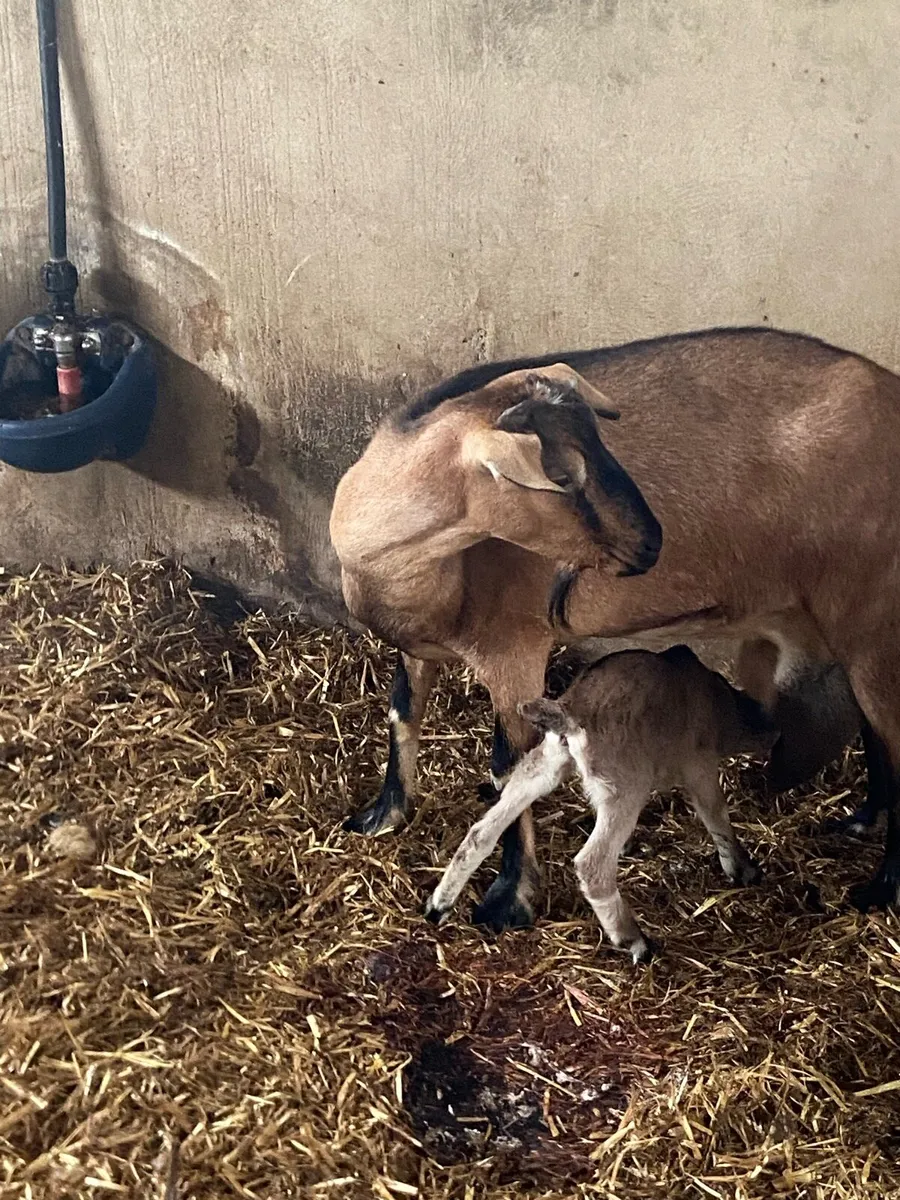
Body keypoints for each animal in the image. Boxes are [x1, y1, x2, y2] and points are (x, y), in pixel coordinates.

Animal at [425, 646, 778, 961]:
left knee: (482, 831)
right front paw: (742, 869)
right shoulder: (699, 766)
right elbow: (716, 813)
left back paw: (439, 905)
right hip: (624, 785)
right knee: (593, 864)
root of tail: (570, 713)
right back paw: (634, 941)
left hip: (547, 762)